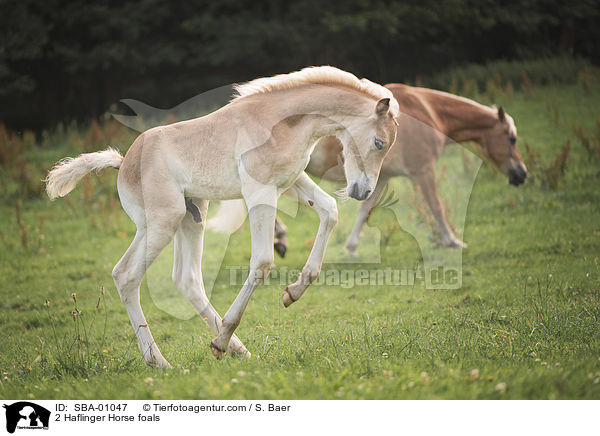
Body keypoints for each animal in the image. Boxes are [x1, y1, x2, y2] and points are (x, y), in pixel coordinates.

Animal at [45, 66, 398, 366]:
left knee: (187, 279)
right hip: (162, 223)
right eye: (379, 142)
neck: (281, 121)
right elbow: (262, 262)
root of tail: (123, 162)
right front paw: (229, 332)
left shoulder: (291, 181)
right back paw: (161, 361)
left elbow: (330, 211)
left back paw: (235, 349)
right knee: (126, 275)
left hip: (190, 219)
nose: (363, 192)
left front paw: (293, 292)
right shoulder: (259, 193)